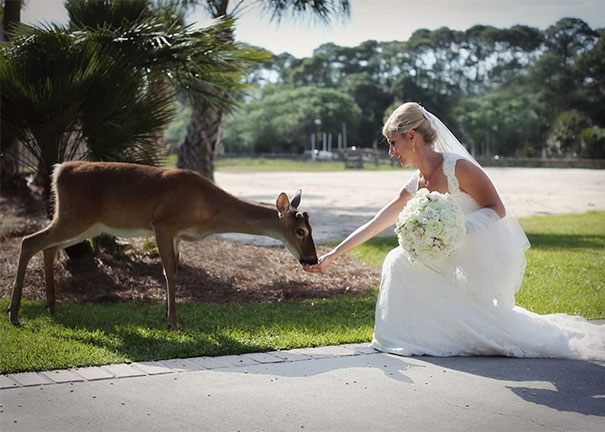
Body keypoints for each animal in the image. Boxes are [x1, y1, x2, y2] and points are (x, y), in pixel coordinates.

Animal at [8, 160, 316, 330]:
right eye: (300, 230)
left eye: (311, 228)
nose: (311, 260)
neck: (209, 208)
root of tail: (59, 170)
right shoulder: (163, 224)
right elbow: (169, 272)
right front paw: (173, 323)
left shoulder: (177, 236)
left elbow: (174, 270)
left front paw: (168, 318)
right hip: (74, 216)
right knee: (29, 241)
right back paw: (14, 314)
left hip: (88, 223)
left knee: (48, 247)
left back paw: (51, 307)